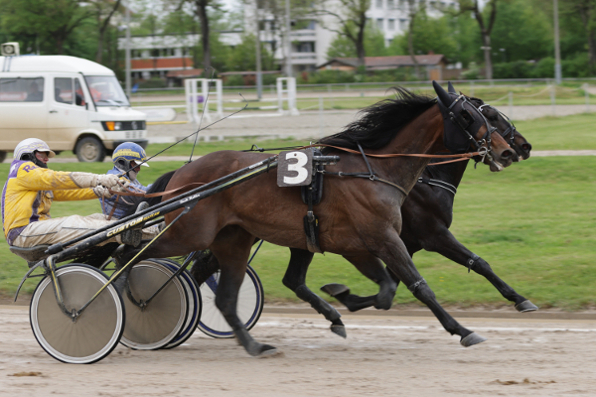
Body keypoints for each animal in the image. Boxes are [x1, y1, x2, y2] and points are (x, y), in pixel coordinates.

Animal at [118, 81, 516, 356]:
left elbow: (387, 290)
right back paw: (131, 296)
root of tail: (184, 172)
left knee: (226, 290)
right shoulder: (388, 237)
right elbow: (418, 286)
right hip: (190, 232)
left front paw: (342, 301)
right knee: (131, 254)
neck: (375, 171)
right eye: (469, 116)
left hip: (238, 239)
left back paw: (251, 343)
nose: (510, 150)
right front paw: (463, 330)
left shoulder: (360, 245)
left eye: (487, 116)